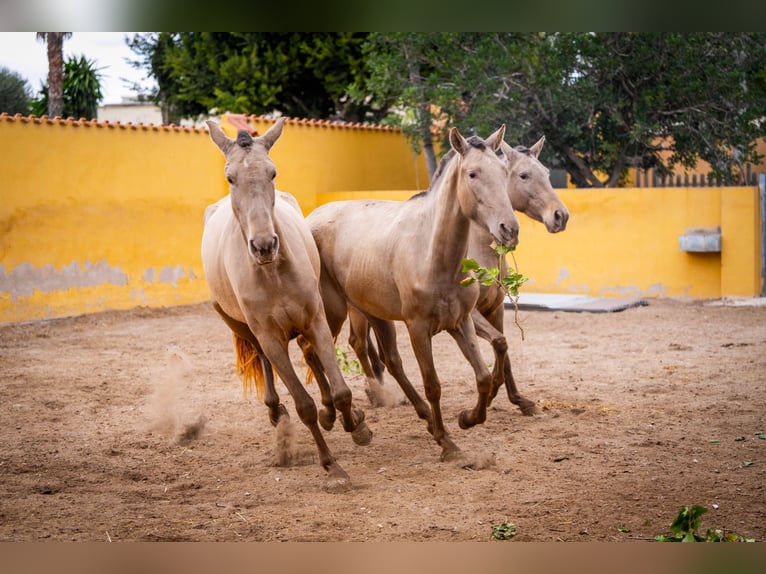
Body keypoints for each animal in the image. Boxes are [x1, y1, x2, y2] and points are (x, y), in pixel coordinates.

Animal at [201, 118, 372, 492]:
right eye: (230, 177)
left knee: (311, 356)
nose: (264, 245)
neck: (273, 273)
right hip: (240, 325)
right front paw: (332, 467)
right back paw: (276, 411)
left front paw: (357, 426)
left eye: (273, 172)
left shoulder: (316, 319)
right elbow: (303, 404)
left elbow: (341, 390)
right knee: (265, 361)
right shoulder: (270, 337)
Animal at [305, 125, 517, 462]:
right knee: (312, 351)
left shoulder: (461, 322)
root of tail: (308, 219)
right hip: (332, 312)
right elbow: (433, 385)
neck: (433, 254)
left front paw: (468, 418)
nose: (509, 228)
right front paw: (447, 443)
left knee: (390, 361)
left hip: (374, 312)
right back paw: (336, 417)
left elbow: (483, 377)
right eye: (472, 173)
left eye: (503, 170)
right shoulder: (418, 328)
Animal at [347, 137, 569, 416]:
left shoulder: (495, 308)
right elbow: (498, 342)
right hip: (356, 309)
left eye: (547, 173)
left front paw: (519, 399)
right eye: (524, 175)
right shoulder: (470, 313)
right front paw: (493, 392)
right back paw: (377, 394)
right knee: (358, 343)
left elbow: (503, 346)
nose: (560, 215)